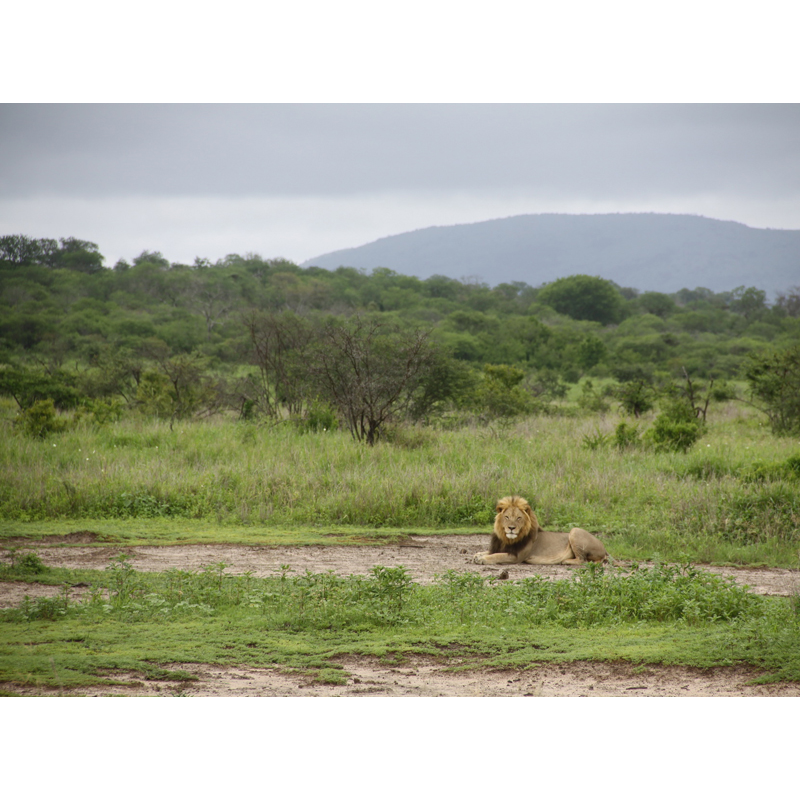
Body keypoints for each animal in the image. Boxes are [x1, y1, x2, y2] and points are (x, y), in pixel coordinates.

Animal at [472, 496, 608, 564]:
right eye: (507, 517)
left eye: (519, 518)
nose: (511, 528)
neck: (507, 539)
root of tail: (605, 549)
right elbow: (490, 552)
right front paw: (478, 555)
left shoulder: (517, 556)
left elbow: (497, 556)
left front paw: (482, 559)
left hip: (575, 530)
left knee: (583, 560)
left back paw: (565, 561)